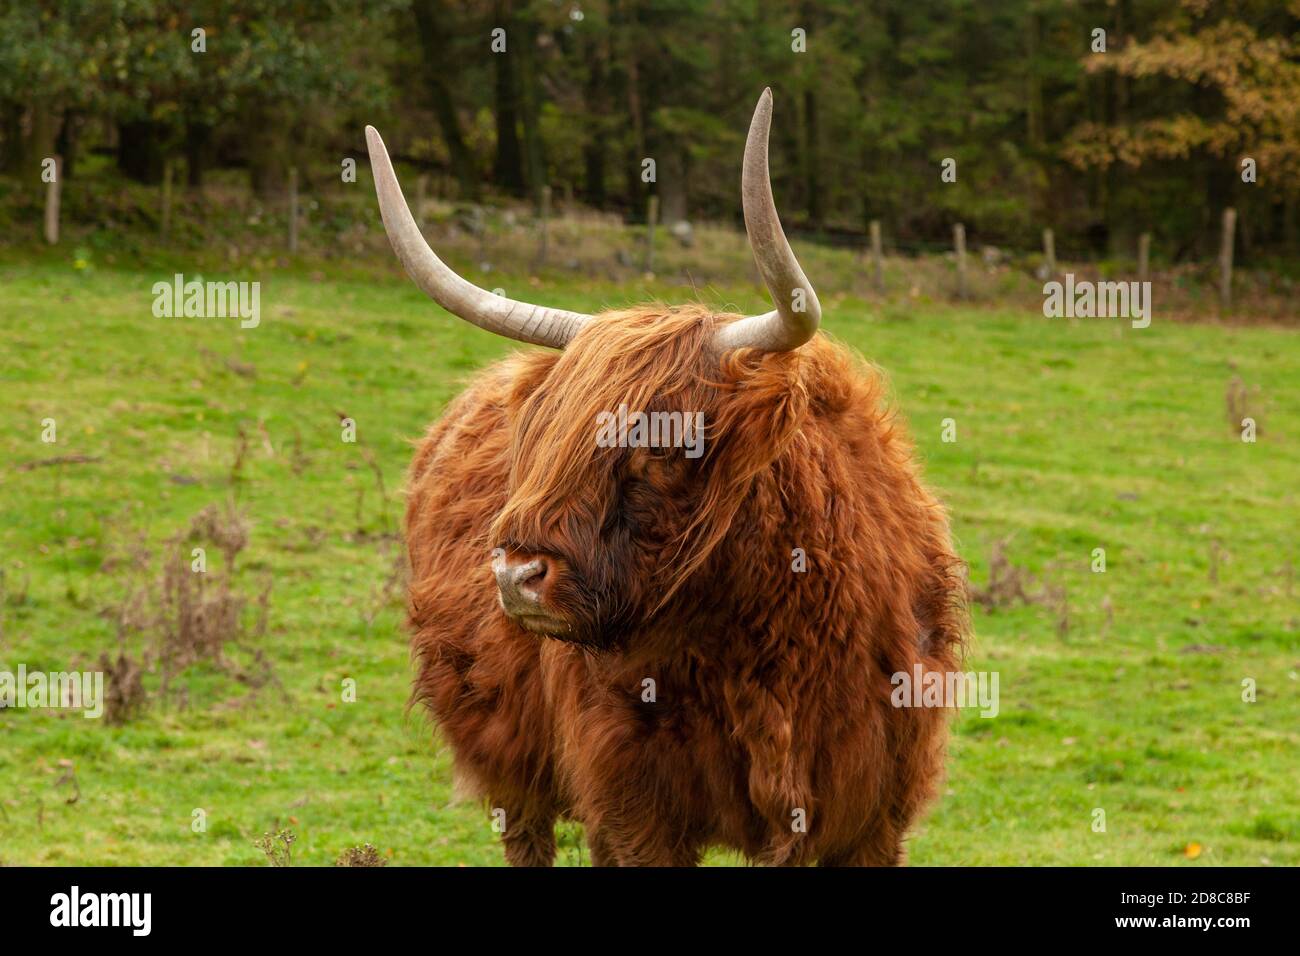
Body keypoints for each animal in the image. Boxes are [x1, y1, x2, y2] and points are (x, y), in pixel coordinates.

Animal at [366, 89, 967, 868]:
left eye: (666, 444)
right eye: (543, 435)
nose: (516, 575)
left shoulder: (871, 814)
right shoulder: (634, 803)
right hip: (509, 759)